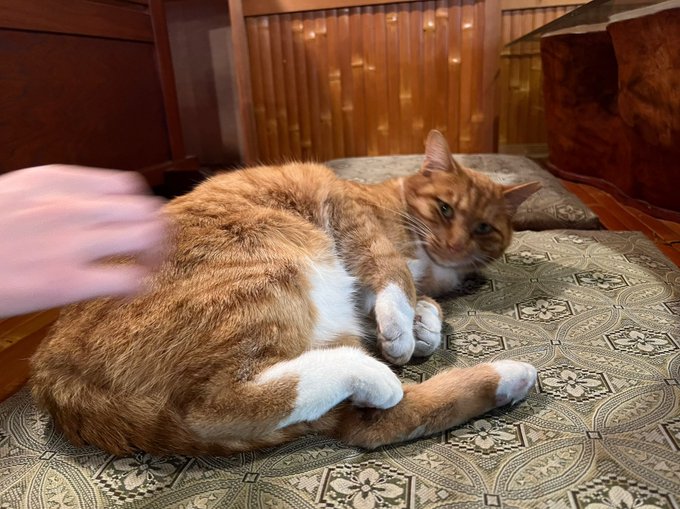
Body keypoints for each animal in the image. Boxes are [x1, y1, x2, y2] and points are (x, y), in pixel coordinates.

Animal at [30, 130, 541, 456]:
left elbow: (427, 304)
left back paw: (507, 378)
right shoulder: (350, 212)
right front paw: (402, 326)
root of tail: (50, 370)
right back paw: (374, 372)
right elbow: (393, 273)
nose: (453, 246)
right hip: (270, 270)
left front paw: (425, 328)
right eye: (444, 208)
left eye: (483, 228)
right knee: (213, 407)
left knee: (373, 423)